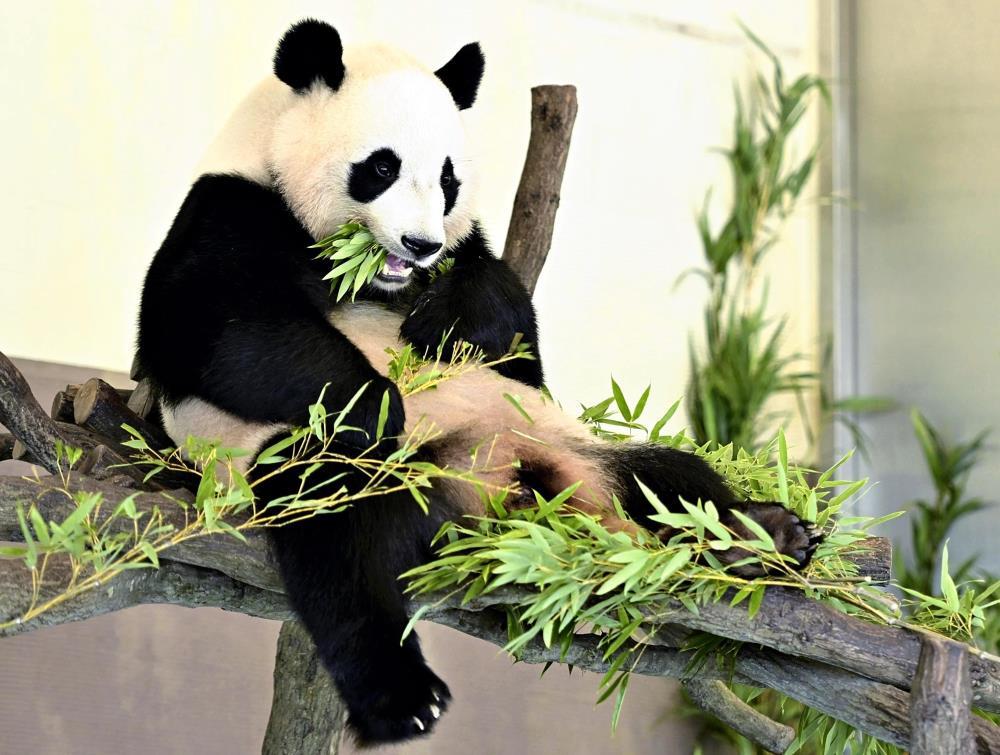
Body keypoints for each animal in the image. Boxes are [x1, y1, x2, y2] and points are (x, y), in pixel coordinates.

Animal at [137, 19, 818, 745]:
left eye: (448, 179)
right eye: (381, 168)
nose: (421, 245)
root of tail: (494, 488)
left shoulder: (474, 266)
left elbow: (517, 342)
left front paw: (446, 317)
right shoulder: (231, 210)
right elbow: (216, 331)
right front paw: (379, 403)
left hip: (570, 446)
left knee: (671, 479)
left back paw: (763, 533)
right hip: (326, 465)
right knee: (339, 533)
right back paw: (405, 698)